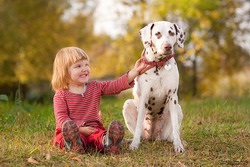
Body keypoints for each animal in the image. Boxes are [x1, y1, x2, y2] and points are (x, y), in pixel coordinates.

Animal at [122, 20, 186, 153]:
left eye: (171, 33)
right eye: (157, 34)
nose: (167, 46)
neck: (159, 65)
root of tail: (152, 137)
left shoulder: (173, 96)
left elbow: (176, 128)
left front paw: (178, 145)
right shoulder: (144, 97)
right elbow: (138, 126)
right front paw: (134, 144)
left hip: (178, 108)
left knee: (171, 135)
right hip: (127, 104)